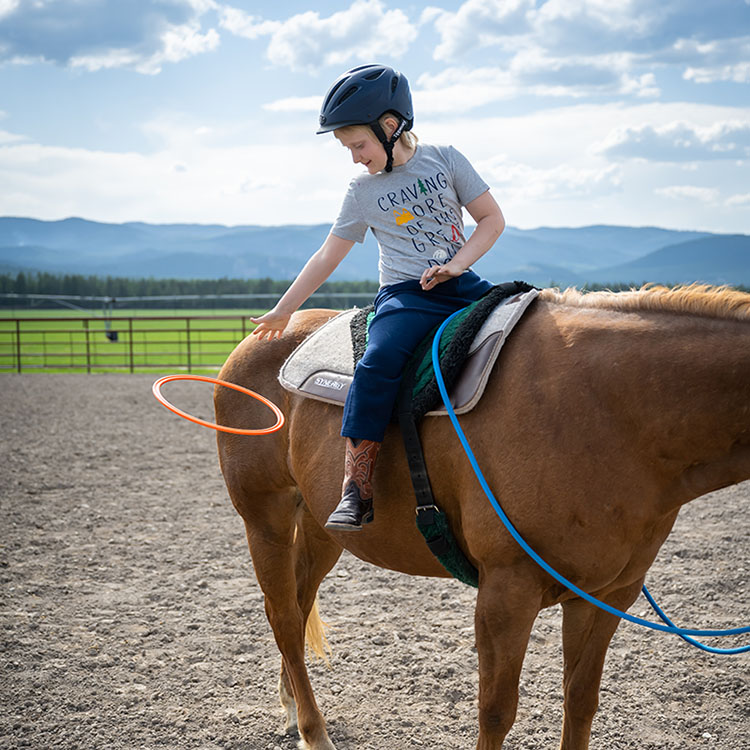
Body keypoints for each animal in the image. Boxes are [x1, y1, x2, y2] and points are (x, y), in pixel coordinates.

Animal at [213, 284, 750, 750]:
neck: (609, 410)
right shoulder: (506, 592)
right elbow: (496, 711)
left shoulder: (604, 595)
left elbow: (580, 700)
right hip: (265, 517)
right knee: (283, 616)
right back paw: (314, 731)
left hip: (321, 526)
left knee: (300, 602)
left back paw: (292, 710)